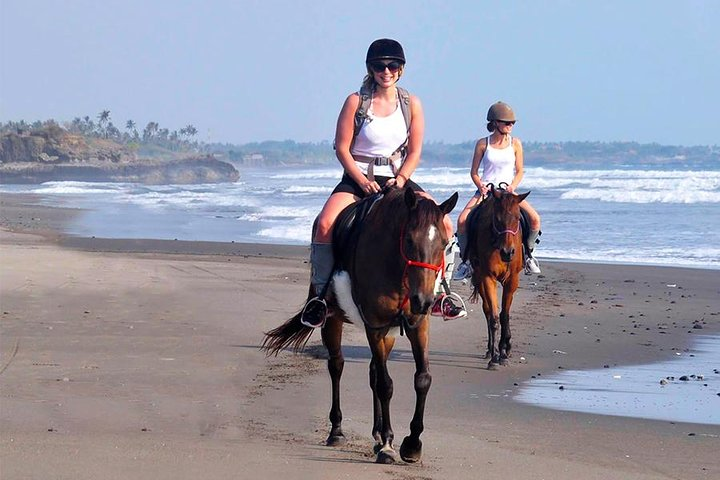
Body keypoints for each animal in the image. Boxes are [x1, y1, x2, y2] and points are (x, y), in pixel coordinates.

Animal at [262, 188, 456, 464]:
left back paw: (376, 434)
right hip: (332, 319)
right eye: (409, 240)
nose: (424, 300)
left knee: (373, 370)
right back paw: (337, 431)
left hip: (390, 333)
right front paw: (388, 445)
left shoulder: (417, 325)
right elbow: (386, 385)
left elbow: (422, 379)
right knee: (337, 366)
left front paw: (411, 444)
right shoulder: (374, 325)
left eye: (443, 243)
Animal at [464, 186, 524, 370]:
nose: (507, 252)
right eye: (497, 219)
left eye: (517, 218)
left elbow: (504, 315)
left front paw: (504, 351)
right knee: (487, 310)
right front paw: (495, 357)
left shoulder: (512, 280)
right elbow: (494, 317)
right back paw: (491, 351)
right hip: (479, 277)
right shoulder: (487, 277)